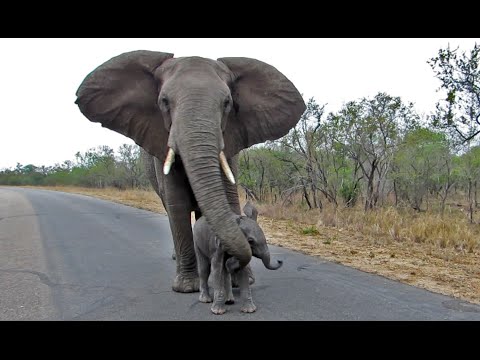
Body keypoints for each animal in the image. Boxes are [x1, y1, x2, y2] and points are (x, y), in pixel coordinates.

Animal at [77, 50, 306, 292]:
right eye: (164, 102)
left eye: (227, 103)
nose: (279, 261)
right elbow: (177, 205)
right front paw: (187, 287)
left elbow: (228, 198)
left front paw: (241, 280)